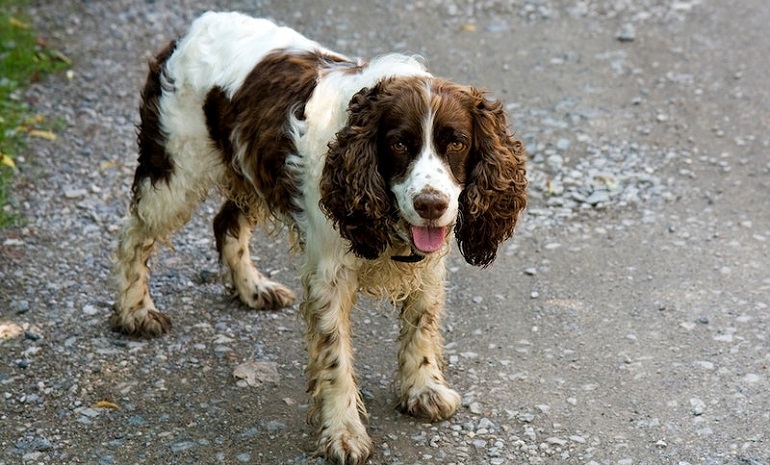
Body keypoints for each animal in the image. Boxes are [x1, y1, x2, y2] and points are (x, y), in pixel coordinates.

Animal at [111, 10, 524, 464]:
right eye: (399, 144)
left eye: (458, 143)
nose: (431, 204)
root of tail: (191, 28)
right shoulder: (329, 276)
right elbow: (335, 358)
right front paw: (343, 432)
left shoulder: (428, 267)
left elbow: (422, 326)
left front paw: (423, 390)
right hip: (174, 172)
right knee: (131, 236)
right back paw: (135, 312)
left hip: (250, 169)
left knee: (224, 223)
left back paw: (253, 289)